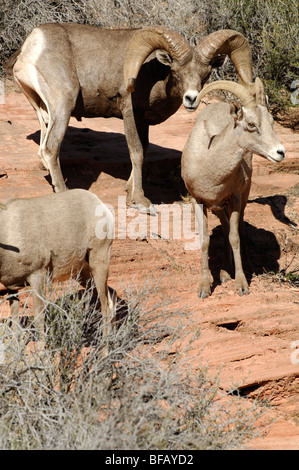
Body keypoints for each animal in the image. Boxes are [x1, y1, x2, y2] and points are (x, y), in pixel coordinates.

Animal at [0, 188, 116, 342]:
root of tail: (100, 205)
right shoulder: (12, 289)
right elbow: (15, 326)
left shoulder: (37, 277)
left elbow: (39, 320)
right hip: (84, 273)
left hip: (99, 263)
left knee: (106, 307)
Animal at [6, 23, 255, 207]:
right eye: (175, 72)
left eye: (206, 74)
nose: (191, 99)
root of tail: (31, 46)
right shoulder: (130, 114)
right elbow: (136, 153)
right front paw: (139, 200)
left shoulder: (143, 122)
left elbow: (144, 151)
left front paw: (129, 189)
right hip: (63, 104)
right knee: (50, 149)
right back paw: (64, 192)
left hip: (43, 110)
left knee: (42, 148)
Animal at [182, 77, 288, 298]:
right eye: (251, 124)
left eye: (272, 122)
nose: (280, 152)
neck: (208, 163)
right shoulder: (198, 200)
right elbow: (205, 240)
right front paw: (204, 288)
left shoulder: (236, 197)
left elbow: (234, 237)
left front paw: (241, 285)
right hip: (218, 207)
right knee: (224, 227)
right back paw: (223, 273)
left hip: (239, 199)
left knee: (236, 228)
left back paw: (239, 268)